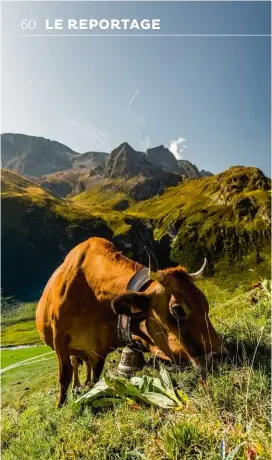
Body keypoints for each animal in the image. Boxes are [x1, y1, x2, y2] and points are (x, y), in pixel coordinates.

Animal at [35, 237, 225, 406]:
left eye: (205, 304)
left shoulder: (99, 350)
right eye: (178, 310)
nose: (219, 354)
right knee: (74, 363)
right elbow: (64, 375)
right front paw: (60, 405)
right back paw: (77, 386)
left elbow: (95, 376)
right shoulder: (59, 339)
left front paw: (90, 390)